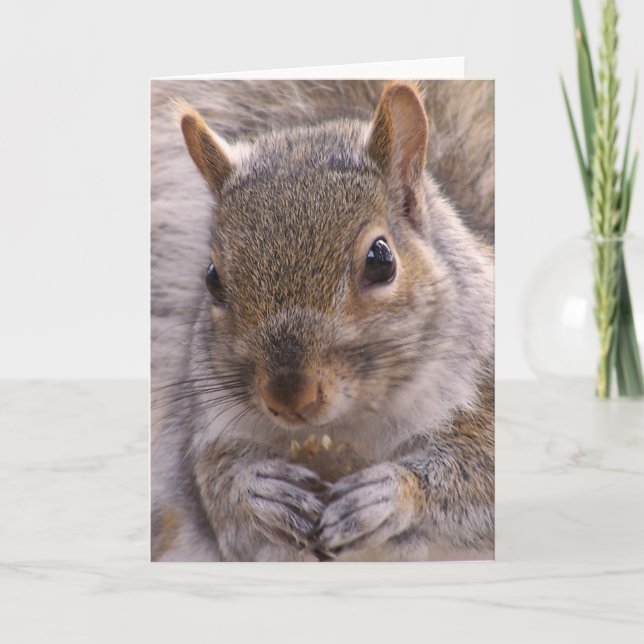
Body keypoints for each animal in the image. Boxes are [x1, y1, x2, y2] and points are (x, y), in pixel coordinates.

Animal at [151, 80, 494, 561]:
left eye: (381, 260)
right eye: (212, 278)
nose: (289, 398)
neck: (349, 424)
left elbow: (480, 476)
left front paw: (390, 493)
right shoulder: (214, 429)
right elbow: (221, 494)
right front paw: (259, 492)